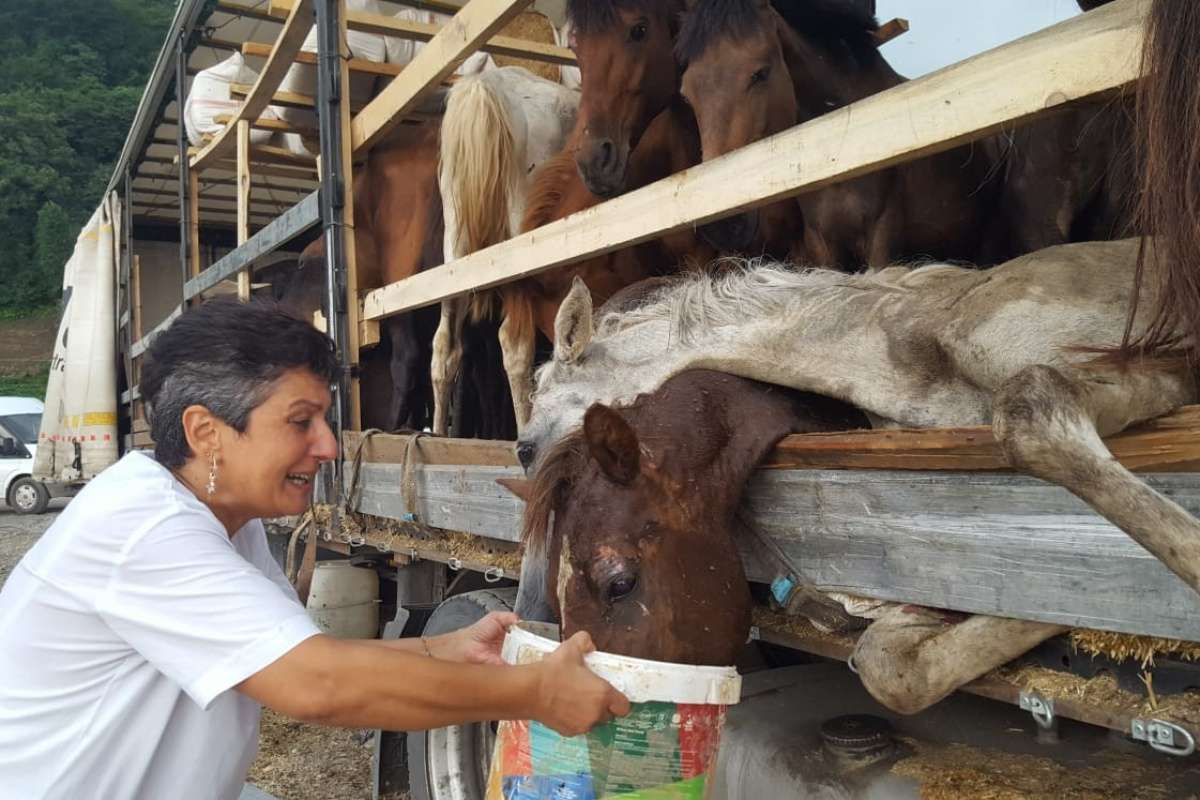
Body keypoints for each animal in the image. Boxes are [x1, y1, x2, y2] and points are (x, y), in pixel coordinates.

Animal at [511, 237, 1200, 714]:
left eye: (523, 447)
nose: (530, 608)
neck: (907, 346)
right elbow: (890, 660)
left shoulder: (1160, 366)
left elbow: (1035, 417)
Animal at [676, 0, 993, 268]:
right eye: (687, 96)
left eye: (760, 73)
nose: (721, 222)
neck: (838, 145)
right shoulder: (822, 243)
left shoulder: (882, 237)